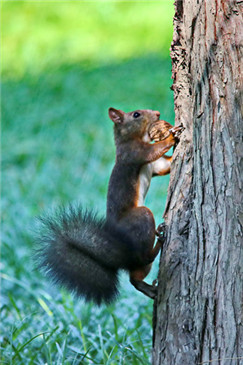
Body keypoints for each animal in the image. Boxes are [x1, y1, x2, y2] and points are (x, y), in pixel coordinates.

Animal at [35, 107, 182, 304]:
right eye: (136, 114)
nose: (157, 113)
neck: (134, 138)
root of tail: (123, 250)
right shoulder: (135, 153)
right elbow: (154, 150)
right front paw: (172, 135)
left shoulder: (155, 166)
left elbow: (166, 165)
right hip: (141, 217)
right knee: (143, 257)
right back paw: (158, 242)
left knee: (135, 277)